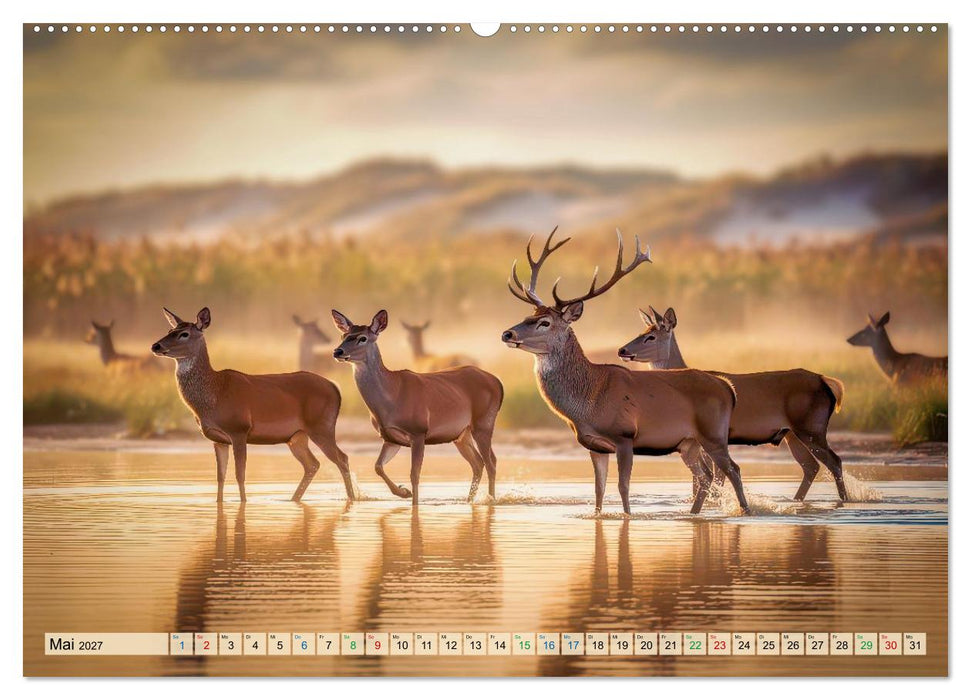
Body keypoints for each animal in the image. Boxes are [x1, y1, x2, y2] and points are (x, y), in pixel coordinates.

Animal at [151, 307, 355, 504]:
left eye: (184, 333)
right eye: (169, 330)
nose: (156, 345)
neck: (214, 394)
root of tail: (335, 387)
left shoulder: (239, 430)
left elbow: (239, 474)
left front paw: (243, 503)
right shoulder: (218, 440)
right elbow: (220, 477)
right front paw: (219, 503)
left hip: (322, 426)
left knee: (342, 458)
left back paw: (352, 498)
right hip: (297, 436)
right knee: (312, 464)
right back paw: (293, 499)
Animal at [331, 309, 504, 505]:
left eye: (362, 338)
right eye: (343, 335)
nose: (338, 351)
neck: (390, 399)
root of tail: (498, 382)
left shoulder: (418, 431)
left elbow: (414, 474)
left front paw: (413, 502)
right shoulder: (390, 438)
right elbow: (378, 467)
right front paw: (403, 491)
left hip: (484, 422)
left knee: (491, 462)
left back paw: (491, 499)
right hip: (461, 433)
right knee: (477, 463)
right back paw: (469, 500)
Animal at [501, 228, 749, 515]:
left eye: (544, 322)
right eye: (527, 316)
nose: (507, 334)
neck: (589, 401)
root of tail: (728, 387)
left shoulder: (624, 436)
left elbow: (623, 487)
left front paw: (628, 517)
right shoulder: (594, 445)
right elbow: (599, 490)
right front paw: (598, 516)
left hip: (714, 434)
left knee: (733, 470)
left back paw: (746, 512)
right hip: (689, 442)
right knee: (706, 475)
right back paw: (694, 515)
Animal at [617, 305, 848, 501]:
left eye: (651, 336)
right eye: (642, 331)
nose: (622, 350)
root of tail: (826, 381)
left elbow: (715, 477)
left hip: (812, 427)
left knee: (834, 461)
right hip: (792, 433)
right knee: (811, 466)